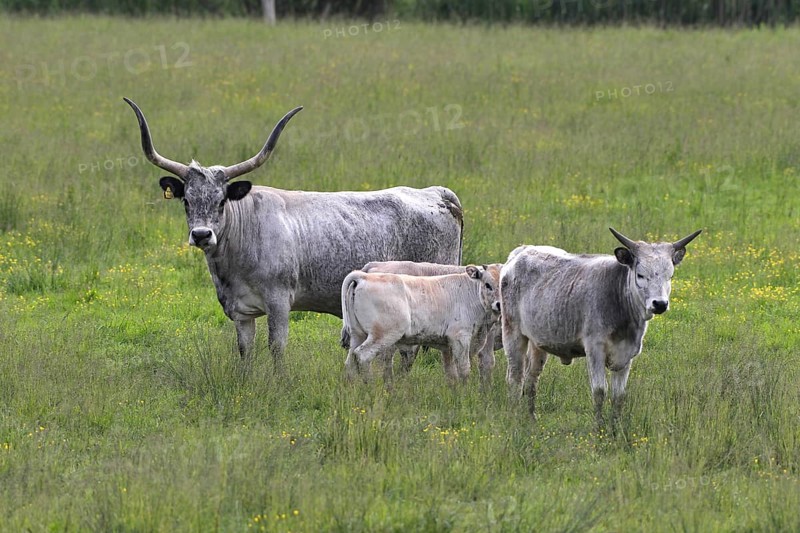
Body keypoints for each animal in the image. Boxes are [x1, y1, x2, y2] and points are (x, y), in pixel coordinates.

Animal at [123, 98, 463, 370]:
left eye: (221, 201)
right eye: (187, 201)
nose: (202, 235)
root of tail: (435, 193)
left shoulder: (279, 302)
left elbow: (276, 348)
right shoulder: (240, 311)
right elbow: (245, 350)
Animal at [341, 261, 504, 383]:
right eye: (488, 284)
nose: (499, 304)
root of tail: (363, 276)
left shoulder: (447, 345)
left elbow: (451, 373)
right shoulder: (460, 338)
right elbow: (465, 369)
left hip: (358, 334)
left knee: (350, 362)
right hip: (382, 336)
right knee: (364, 356)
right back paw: (370, 387)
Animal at [499, 228, 701, 427]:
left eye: (670, 276)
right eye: (640, 275)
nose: (660, 304)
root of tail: (522, 251)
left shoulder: (626, 354)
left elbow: (619, 396)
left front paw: (615, 428)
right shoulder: (595, 349)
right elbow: (599, 391)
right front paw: (598, 428)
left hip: (538, 343)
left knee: (531, 380)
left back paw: (531, 419)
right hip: (512, 333)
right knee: (515, 378)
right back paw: (513, 417)